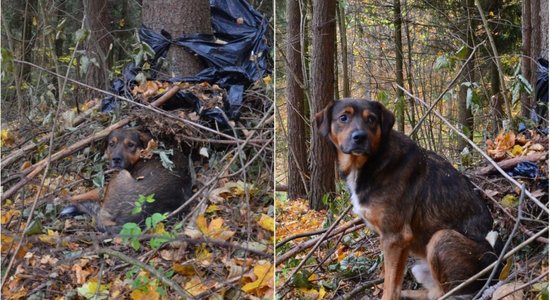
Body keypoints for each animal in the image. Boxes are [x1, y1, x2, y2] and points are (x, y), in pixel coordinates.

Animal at [60, 127, 193, 233]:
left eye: (130, 145)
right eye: (111, 144)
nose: (116, 159)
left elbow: (90, 193)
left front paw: (66, 196)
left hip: (119, 176)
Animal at [316, 99, 502, 298]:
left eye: (371, 119)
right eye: (343, 117)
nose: (360, 137)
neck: (372, 162)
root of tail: (496, 271)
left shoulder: (395, 236)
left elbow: (390, 286)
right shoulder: (398, 243)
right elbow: (393, 279)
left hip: (440, 239)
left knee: (445, 294)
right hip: (419, 267)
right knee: (432, 293)